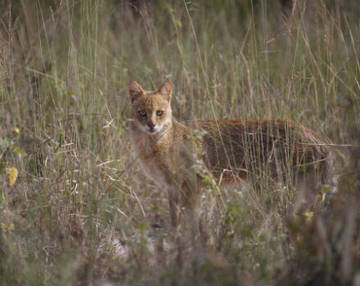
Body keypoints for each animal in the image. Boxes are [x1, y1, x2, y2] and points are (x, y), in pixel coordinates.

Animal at [128, 80, 330, 226]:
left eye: (159, 113)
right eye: (142, 113)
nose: (151, 125)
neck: (155, 147)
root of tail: (315, 135)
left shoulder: (189, 186)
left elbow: (190, 220)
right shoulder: (172, 189)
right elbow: (175, 219)